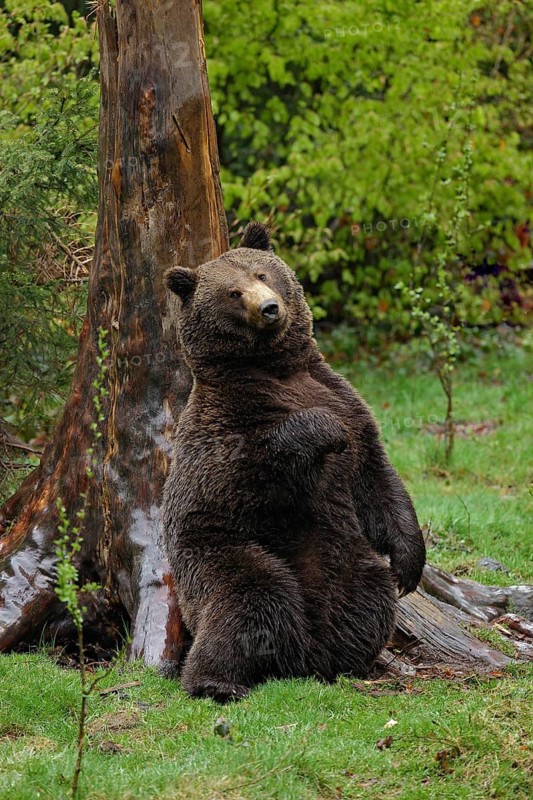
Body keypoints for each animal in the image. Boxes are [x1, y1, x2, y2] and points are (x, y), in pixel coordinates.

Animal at [162, 222, 425, 702]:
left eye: (263, 273)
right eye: (232, 292)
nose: (269, 308)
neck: (276, 369)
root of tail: (299, 656)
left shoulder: (344, 398)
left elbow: (377, 478)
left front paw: (409, 564)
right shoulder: (226, 424)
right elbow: (247, 465)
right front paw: (326, 429)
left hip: (344, 560)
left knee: (368, 597)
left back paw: (348, 659)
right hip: (217, 553)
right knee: (248, 598)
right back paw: (215, 681)